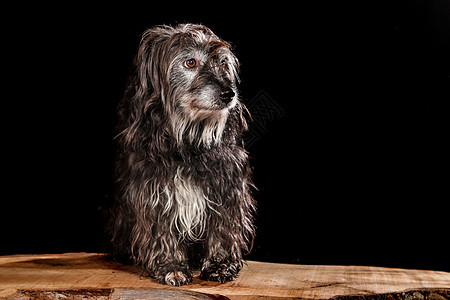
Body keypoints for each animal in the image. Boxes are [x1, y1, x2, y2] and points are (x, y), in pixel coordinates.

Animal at [108, 22, 256, 286]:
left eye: (223, 63)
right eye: (190, 62)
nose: (229, 94)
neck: (188, 143)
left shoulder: (227, 185)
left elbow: (223, 227)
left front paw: (220, 265)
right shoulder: (154, 190)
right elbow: (161, 229)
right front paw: (171, 266)